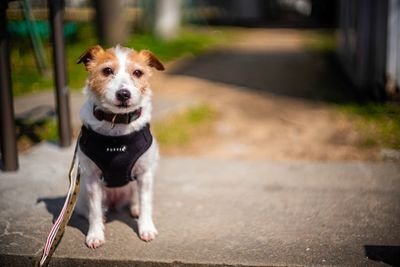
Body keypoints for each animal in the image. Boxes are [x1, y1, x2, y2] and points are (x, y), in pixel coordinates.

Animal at [75, 44, 164, 249]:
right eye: (107, 70)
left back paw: (135, 209)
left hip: (133, 186)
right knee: (90, 209)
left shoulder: (145, 174)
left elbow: (146, 203)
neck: (117, 124)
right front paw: (95, 234)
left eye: (138, 72)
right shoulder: (91, 178)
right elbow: (94, 211)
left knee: (135, 200)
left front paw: (146, 228)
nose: (123, 94)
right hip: (83, 194)